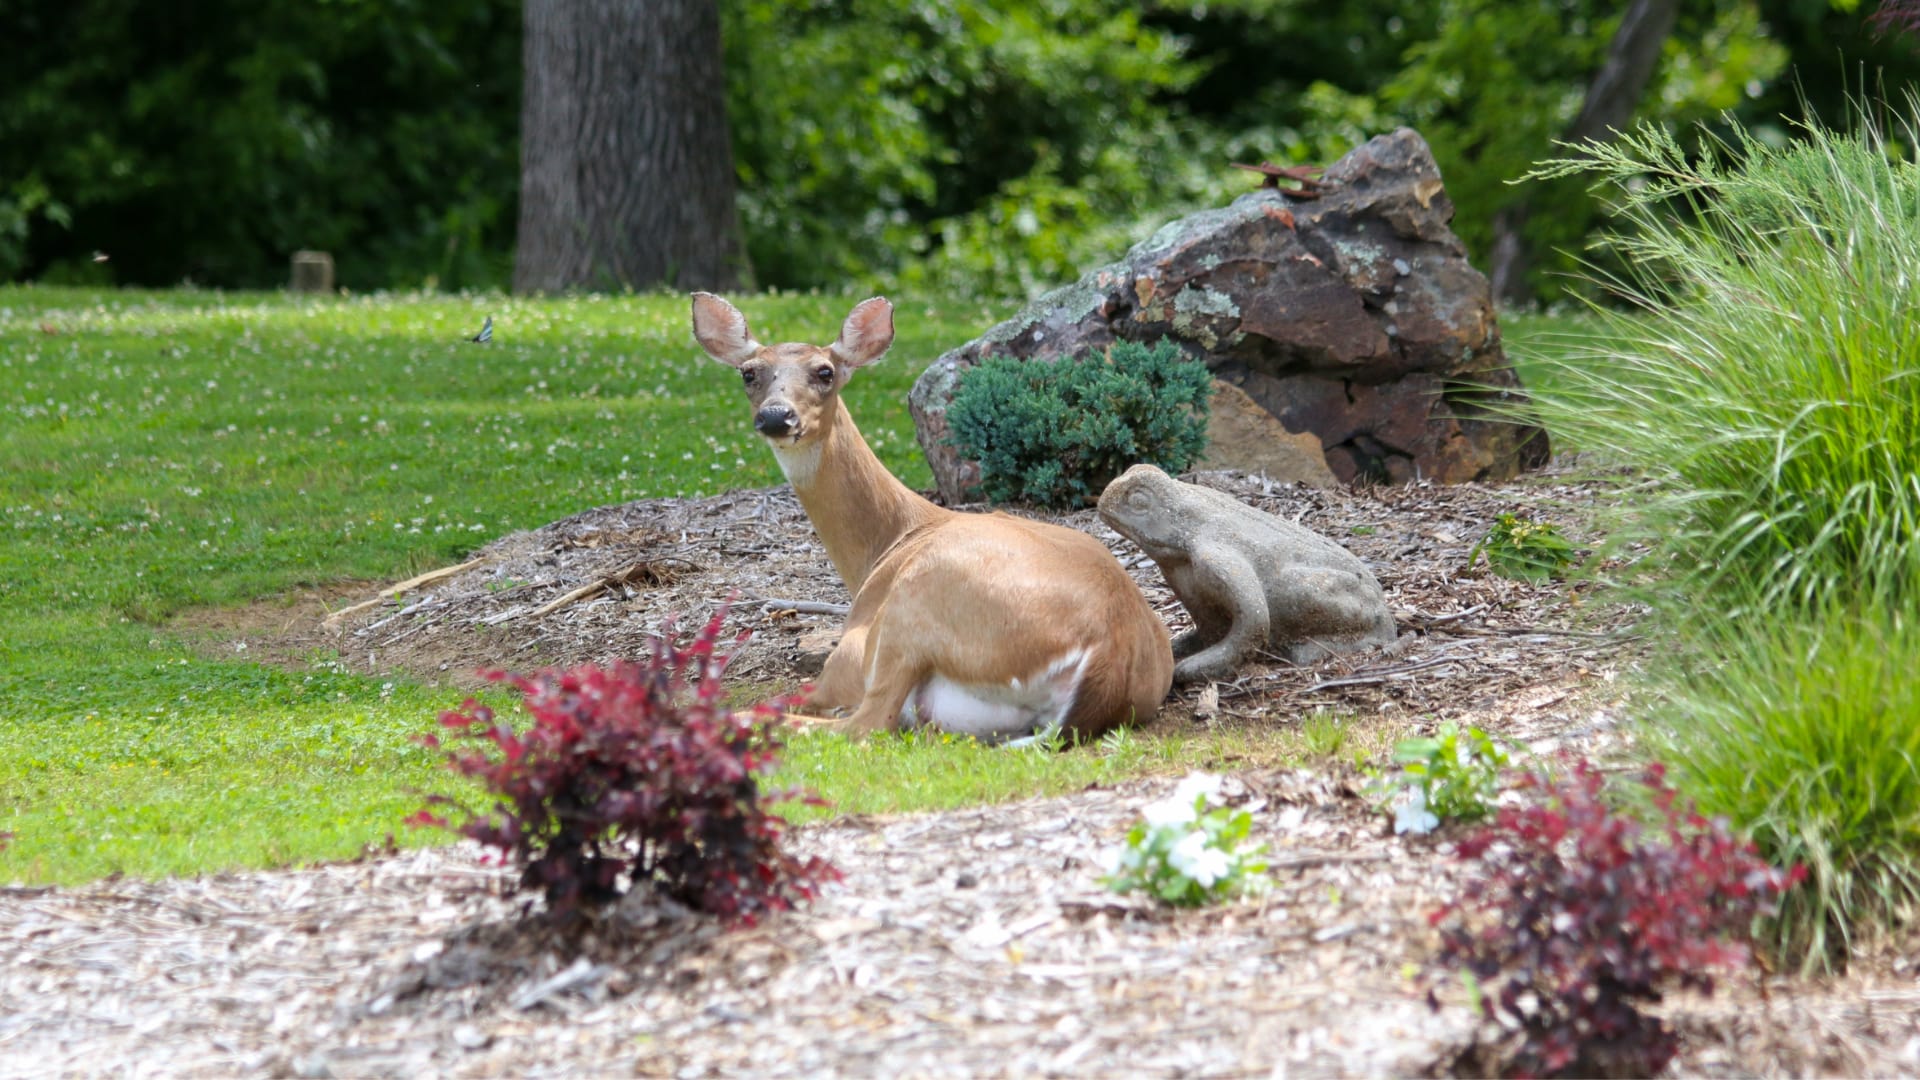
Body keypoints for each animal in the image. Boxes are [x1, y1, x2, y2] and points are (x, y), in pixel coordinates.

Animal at [690, 292, 1174, 743]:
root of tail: (1106, 657)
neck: (893, 539)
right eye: (748, 372)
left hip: (913, 610)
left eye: (825, 371)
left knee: (867, 724)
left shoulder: (846, 660)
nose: (775, 416)